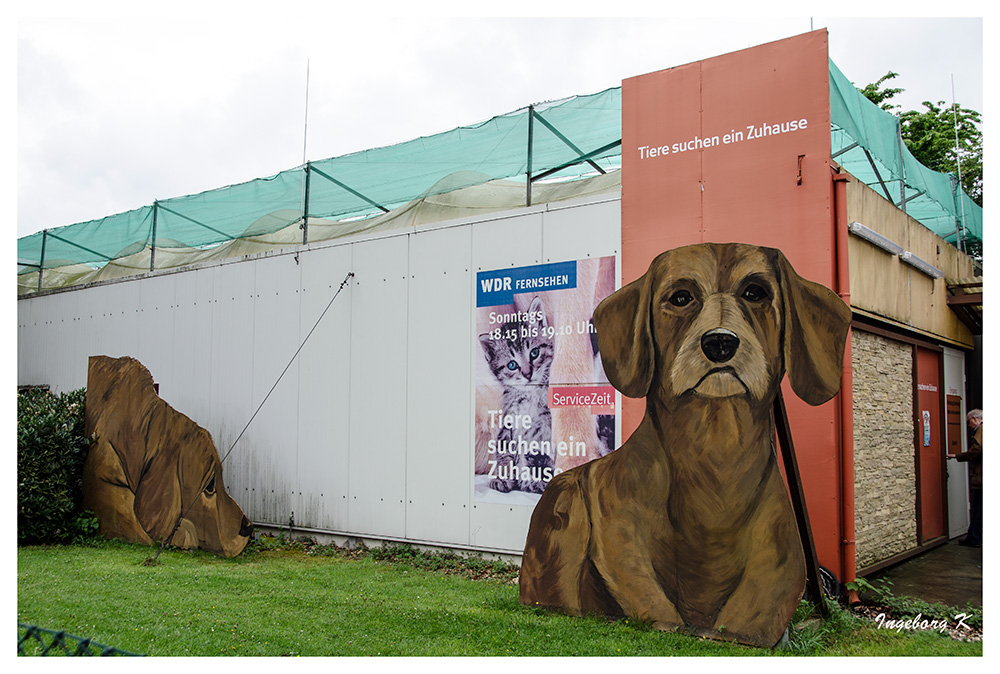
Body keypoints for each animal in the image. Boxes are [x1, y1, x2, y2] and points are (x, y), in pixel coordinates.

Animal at [478, 296, 556, 490]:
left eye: (534, 353)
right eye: (512, 365)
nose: (528, 374)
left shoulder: (545, 423)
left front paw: (534, 479)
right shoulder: (508, 423)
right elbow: (505, 451)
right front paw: (503, 477)